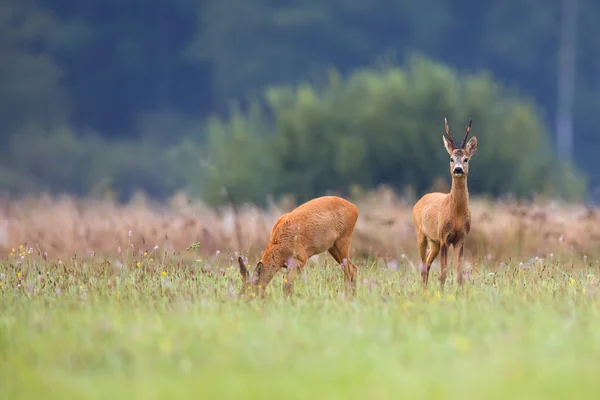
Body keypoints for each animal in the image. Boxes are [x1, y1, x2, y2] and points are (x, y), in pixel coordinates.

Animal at [412, 117, 478, 290]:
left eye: (466, 159)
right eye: (451, 158)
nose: (458, 169)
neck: (456, 215)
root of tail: (420, 200)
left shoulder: (461, 238)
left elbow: (459, 273)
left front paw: (460, 292)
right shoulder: (444, 237)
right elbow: (443, 272)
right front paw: (441, 294)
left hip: (434, 242)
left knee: (427, 264)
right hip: (421, 234)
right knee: (423, 265)